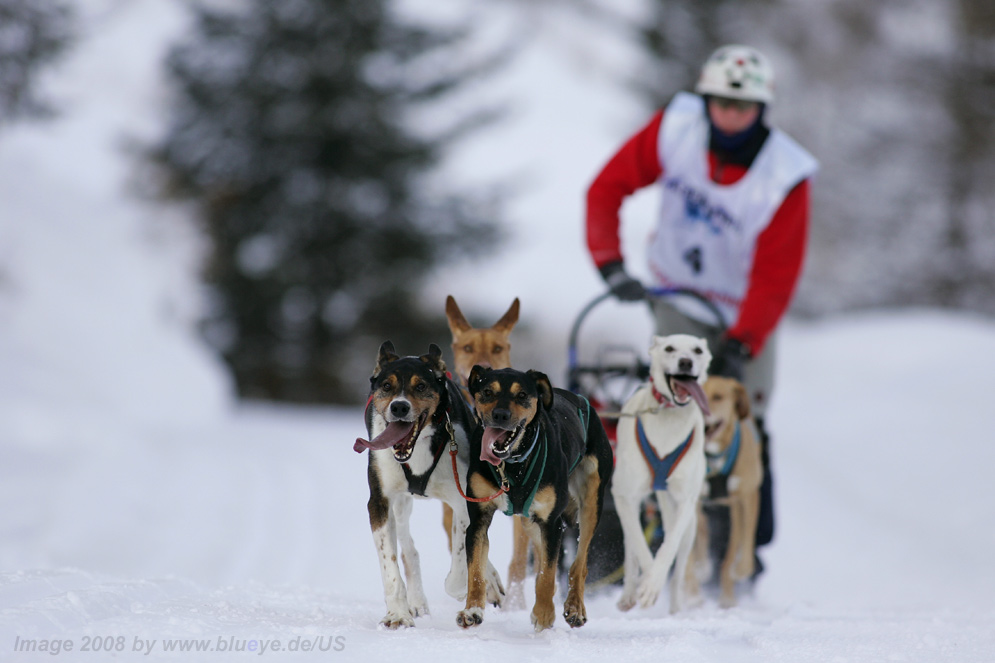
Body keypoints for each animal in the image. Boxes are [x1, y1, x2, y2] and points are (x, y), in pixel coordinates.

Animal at [460, 368, 616, 632]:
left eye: (522, 394)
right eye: (487, 391)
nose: (500, 414)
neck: (512, 466)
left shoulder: (552, 523)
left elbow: (547, 575)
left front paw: (544, 614)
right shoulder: (479, 520)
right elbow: (476, 571)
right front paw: (473, 610)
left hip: (591, 501)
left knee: (579, 564)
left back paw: (575, 607)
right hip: (529, 522)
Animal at [612, 334, 712, 616]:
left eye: (698, 350)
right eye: (669, 348)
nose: (686, 362)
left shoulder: (685, 502)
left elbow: (668, 548)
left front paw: (653, 584)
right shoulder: (623, 496)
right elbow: (640, 545)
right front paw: (646, 584)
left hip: (687, 523)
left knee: (678, 569)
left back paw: (676, 610)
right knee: (631, 546)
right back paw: (628, 594)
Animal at [688, 376, 768, 608]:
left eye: (718, 397)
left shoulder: (746, 498)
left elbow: (742, 543)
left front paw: (733, 583)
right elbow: (696, 540)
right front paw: (697, 582)